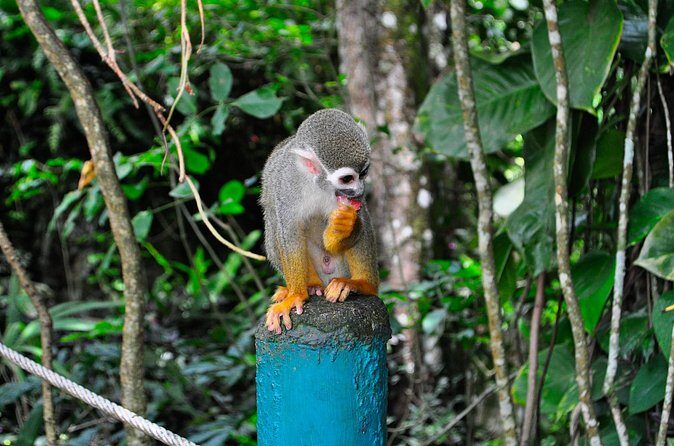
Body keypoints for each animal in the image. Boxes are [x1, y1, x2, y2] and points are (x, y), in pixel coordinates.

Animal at [260, 108, 379, 334]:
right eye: (347, 179)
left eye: (363, 173)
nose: (360, 190)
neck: (319, 183)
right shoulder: (286, 184)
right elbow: (289, 233)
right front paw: (296, 295)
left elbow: (353, 225)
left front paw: (344, 227)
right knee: (273, 223)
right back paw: (310, 286)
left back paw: (363, 284)